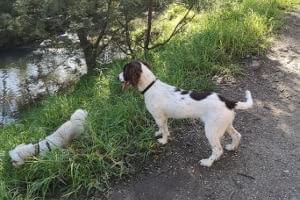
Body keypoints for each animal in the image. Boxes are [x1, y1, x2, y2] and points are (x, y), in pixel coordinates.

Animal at [118, 61, 253, 167]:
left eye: (124, 70)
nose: (117, 77)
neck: (150, 86)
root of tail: (228, 102)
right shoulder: (163, 118)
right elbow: (164, 129)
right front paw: (159, 133)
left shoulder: (159, 117)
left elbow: (164, 130)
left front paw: (163, 140)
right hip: (225, 125)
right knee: (237, 135)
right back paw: (232, 147)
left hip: (211, 131)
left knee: (218, 150)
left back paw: (207, 162)